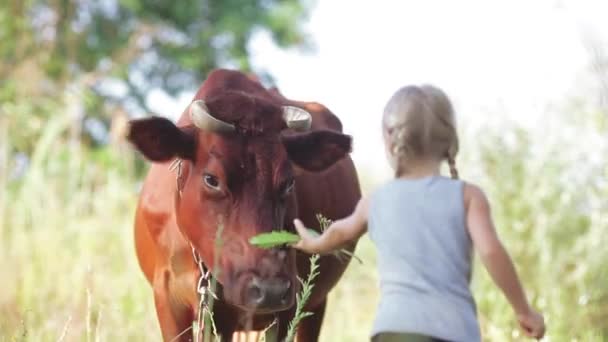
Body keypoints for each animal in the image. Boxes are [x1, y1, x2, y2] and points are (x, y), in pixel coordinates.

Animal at [125, 68, 358, 340]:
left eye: (289, 182)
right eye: (211, 179)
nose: (270, 290)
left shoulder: (288, 301)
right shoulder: (169, 299)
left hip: (314, 304)